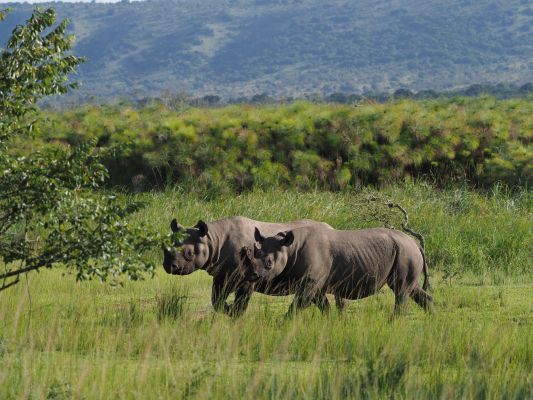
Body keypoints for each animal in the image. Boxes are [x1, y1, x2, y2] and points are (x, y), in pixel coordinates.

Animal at [162, 217, 344, 318]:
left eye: (189, 253)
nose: (169, 267)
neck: (213, 239)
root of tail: (332, 228)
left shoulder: (246, 278)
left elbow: (241, 301)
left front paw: (236, 315)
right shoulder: (222, 275)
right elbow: (216, 300)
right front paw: (229, 311)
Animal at [246, 225, 432, 316]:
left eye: (269, 263)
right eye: (255, 254)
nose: (252, 275)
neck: (290, 247)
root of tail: (416, 243)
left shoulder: (310, 282)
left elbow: (297, 305)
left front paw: (283, 324)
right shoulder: (314, 284)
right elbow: (323, 307)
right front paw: (332, 323)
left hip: (406, 252)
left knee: (401, 290)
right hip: (405, 251)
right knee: (411, 289)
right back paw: (432, 320)